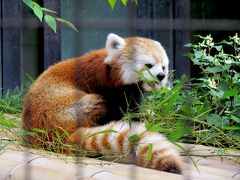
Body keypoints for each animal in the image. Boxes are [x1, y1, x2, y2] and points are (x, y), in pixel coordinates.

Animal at [22, 33, 183, 173]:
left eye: (163, 67)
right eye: (149, 65)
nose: (161, 76)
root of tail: (51, 132)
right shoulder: (106, 86)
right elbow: (123, 110)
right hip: (68, 107)